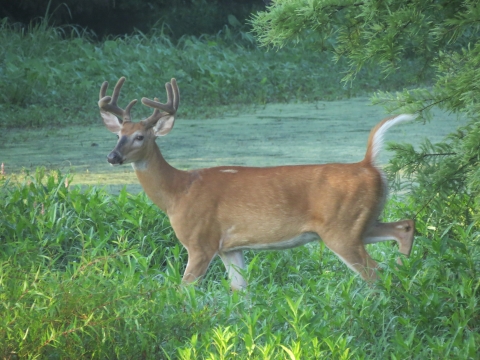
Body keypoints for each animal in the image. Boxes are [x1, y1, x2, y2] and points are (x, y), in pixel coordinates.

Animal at [99, 76, 414, 290]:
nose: (112, 156)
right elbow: (241, 292)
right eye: (118, 134)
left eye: (140, 136)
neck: (178, 192)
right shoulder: (229, 246)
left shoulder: (200, 241)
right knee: (405, 227)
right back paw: (405, 272)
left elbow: (183, 290)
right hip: (363, 222)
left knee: (374, 273)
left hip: (342, 229)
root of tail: (367, 165)